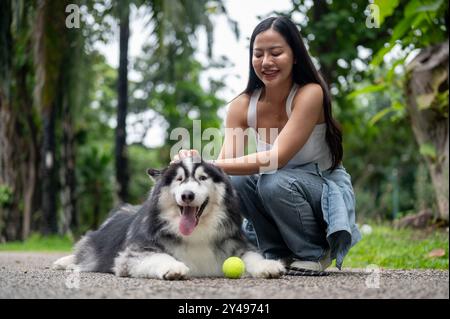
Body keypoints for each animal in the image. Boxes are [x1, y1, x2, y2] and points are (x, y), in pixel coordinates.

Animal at [53, 158, 284, 280]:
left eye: (202, 178)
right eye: (179, 180)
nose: (187, 195)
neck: (197, 234)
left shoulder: (237, 244)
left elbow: (252, 256)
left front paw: (268, 266)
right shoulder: (134, 254)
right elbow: (159, 257)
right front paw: (173, 267)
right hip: (95, 243)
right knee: (84, 251)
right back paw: (64, 262)